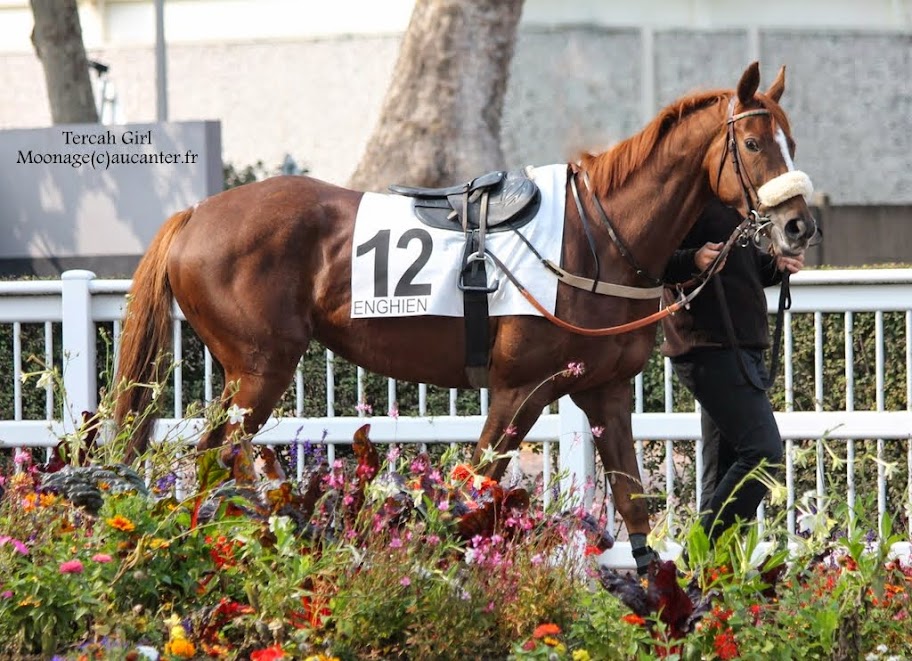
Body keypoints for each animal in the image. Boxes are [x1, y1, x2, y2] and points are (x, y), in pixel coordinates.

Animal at [116, 63, 820, 568]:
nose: (799, 227)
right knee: (216, 459)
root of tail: (194, 215)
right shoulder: (519, 392)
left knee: (214, 461)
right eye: (753, 143)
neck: (597, 235)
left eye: (793, 141)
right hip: (259, 372)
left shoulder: (606, 390)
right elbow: (472, 493)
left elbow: (633, 506)